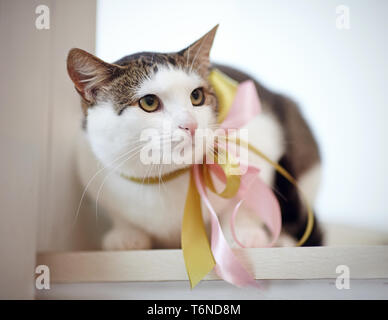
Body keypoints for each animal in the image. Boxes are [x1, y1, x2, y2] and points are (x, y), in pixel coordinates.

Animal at [67, 25, 324, 250]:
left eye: (197, 96)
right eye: (149, 102)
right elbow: (121, 217)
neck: (164, 177)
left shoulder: (263, 135)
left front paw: (244, 233)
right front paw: (126, 235)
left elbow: (248, 203)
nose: (190, 125)